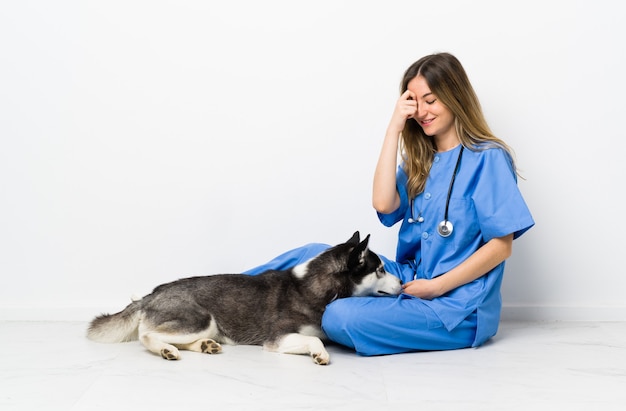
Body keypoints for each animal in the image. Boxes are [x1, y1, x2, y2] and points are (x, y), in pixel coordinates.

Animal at [86, 233, 400, 366]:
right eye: (381, 269)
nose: (402, 282)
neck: (314, 286)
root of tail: (153, 292)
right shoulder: (277, 339)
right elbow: (314, 339)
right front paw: (319, 353)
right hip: (200, 318)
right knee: (146, 335)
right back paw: (167, 350)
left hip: (208, 326)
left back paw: (204, 346)